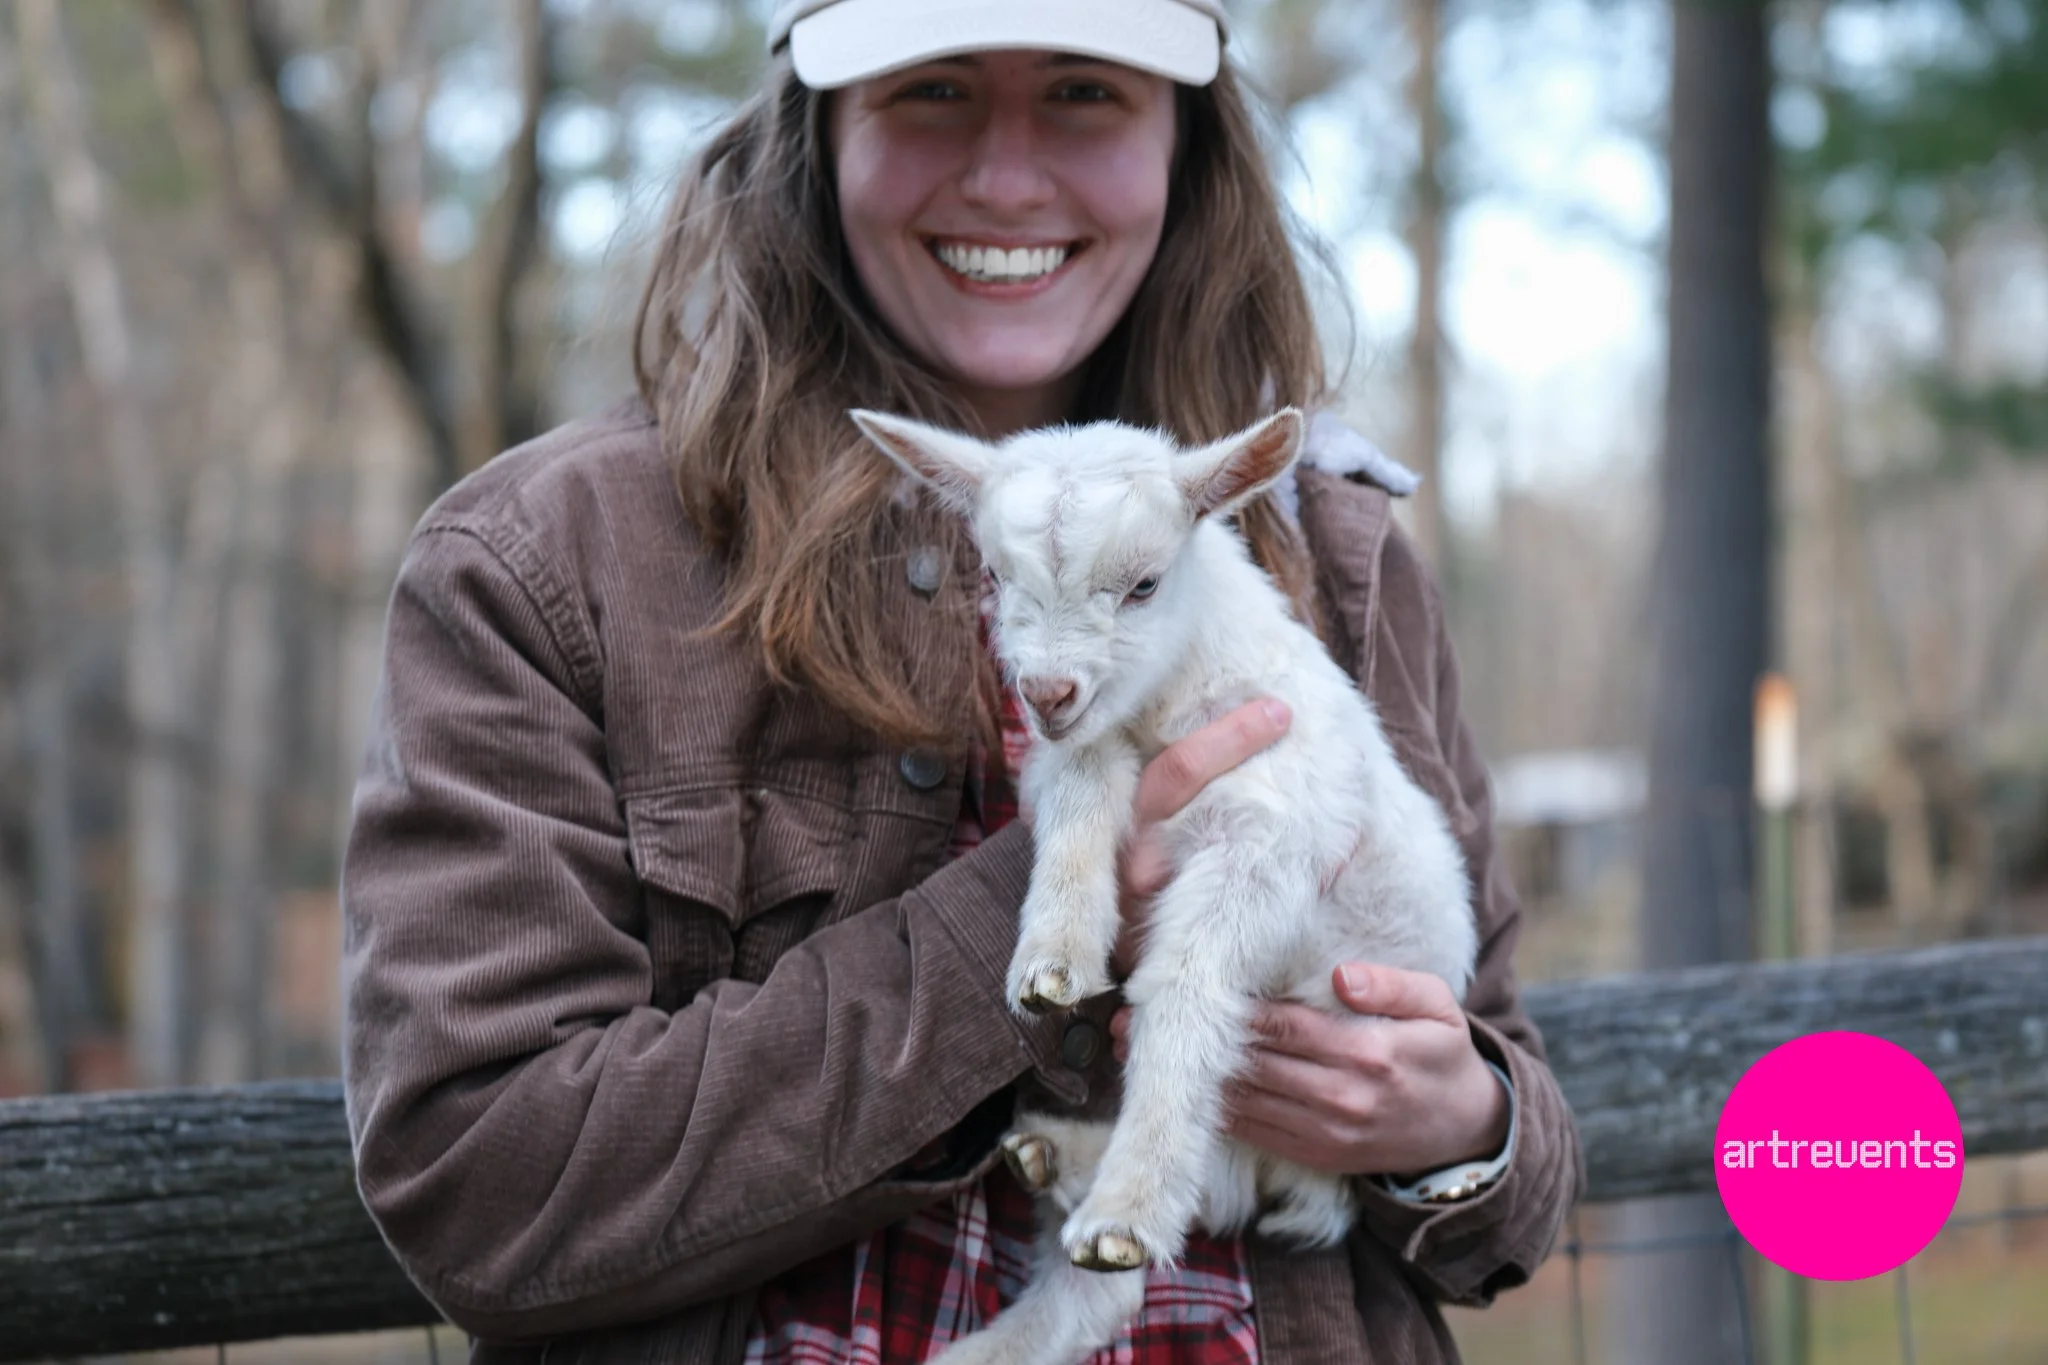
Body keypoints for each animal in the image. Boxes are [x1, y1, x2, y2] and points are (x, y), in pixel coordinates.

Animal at [851, 407, 1478, 1365]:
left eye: (1144, 584)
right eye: (993, 573)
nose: (1047, 691)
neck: (1166, 702)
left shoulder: (1268, 837)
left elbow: (1183, 992)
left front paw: (1127, 1213)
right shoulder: (1078, 749)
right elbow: (1079, 791)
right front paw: (1054, 959)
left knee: (1225, 1187)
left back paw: (1090, 1188)